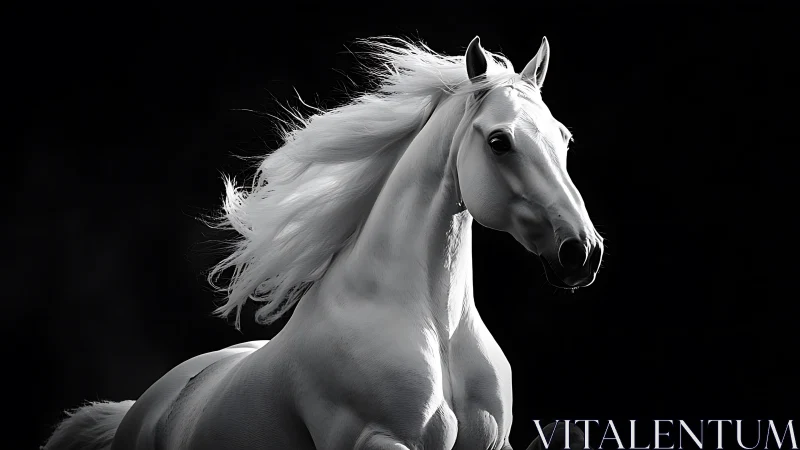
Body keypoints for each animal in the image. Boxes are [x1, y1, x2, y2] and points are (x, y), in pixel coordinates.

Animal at [43, 35, 604, 450]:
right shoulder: (378, 440)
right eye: (499, 141)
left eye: (563, 137)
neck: (435, 329)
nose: (582, 252)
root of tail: (139, 409)